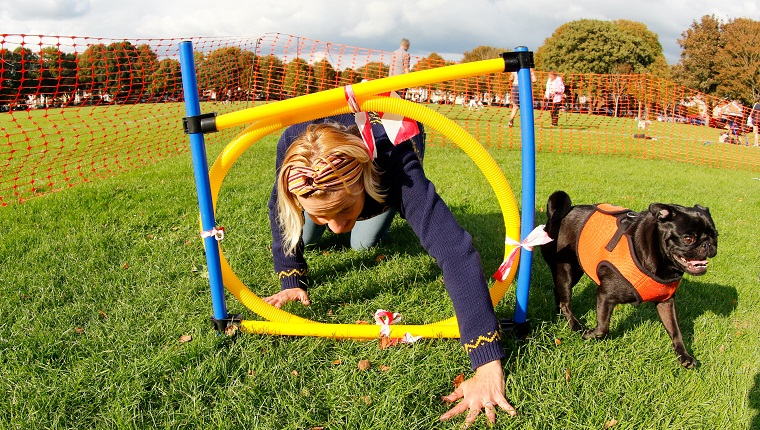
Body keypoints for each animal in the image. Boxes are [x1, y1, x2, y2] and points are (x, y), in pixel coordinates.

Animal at [540, 190, 720, 368]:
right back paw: (575, 325)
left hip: (575, 271)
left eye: (716, 236)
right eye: (688, 239)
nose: (708, 244)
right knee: (565, 301)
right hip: (566, 271)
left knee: (559, 294)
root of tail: (556, 215)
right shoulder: (605, 296)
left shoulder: (666, 303)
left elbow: (676, 331)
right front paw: (589, 335)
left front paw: (684, 356)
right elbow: (603, 327)